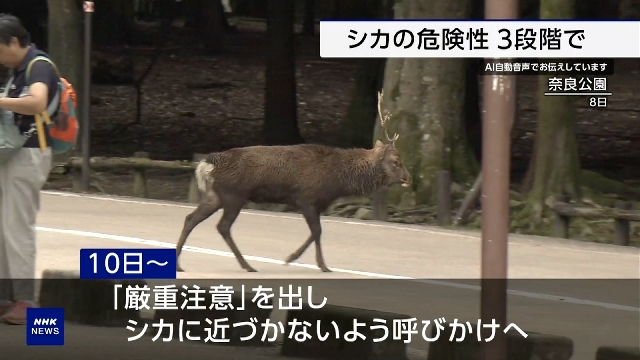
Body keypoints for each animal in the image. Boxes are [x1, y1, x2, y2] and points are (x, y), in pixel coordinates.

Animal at [174, 90, 410, 272]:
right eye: (396, 161)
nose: (408, 178)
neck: (336, 181)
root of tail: (208, 162)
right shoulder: (307, 197)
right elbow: (317, 231)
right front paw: (314, 263)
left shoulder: (316, 203)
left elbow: (315, 232)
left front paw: (302, 260)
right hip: (234, 195)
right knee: (222, 226)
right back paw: (247, 265)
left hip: (215, 195)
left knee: (190, 219)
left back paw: (179, 264)